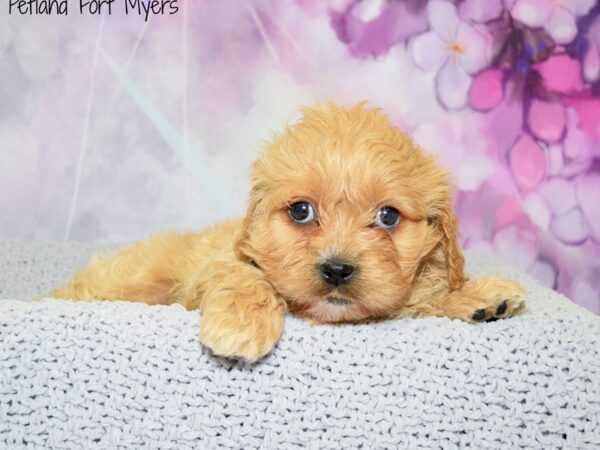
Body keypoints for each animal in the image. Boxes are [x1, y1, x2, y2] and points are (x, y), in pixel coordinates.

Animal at [54, 103, 528, 360]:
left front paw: (477, 298)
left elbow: (421, 301)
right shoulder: (220, 261)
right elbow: (246, 276)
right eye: (301, 211)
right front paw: (242, 323)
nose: (337, 270)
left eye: (388, 217)